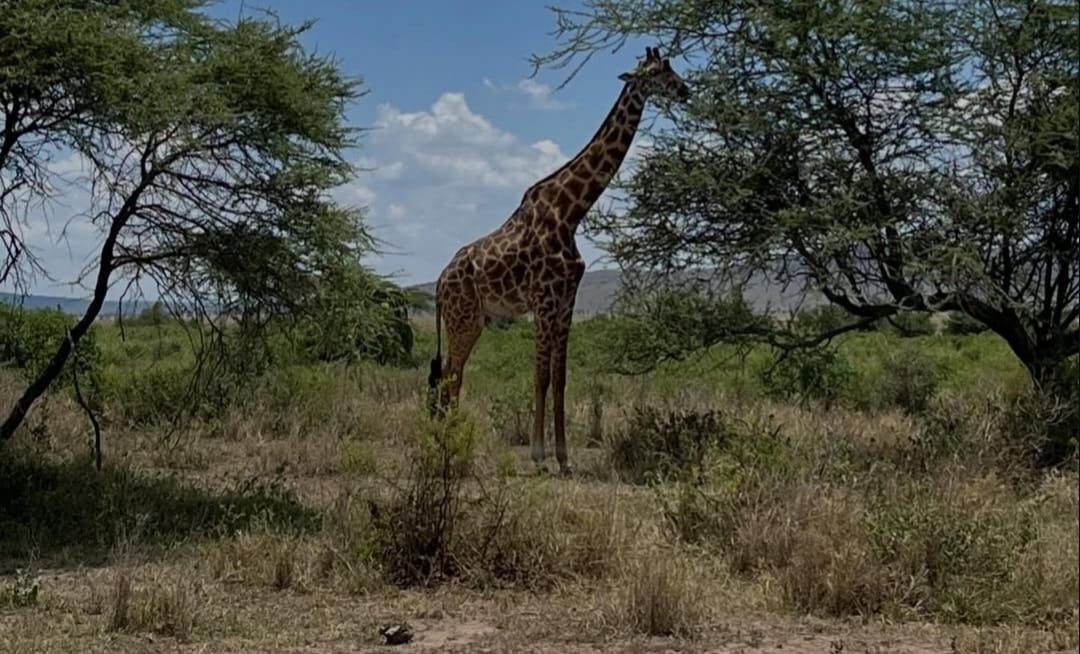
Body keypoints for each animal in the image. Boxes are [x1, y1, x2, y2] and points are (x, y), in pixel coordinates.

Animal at [428, 47, 690, 474]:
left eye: (671, 69)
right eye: (655, 74)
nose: (685, 90)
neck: (572, 213)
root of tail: (437, 284)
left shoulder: (567, 300)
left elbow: (561, 377)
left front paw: (564, 458)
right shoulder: (545, 300)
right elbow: (540, 376)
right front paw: (538, 456)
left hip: (473, 320)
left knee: (452, 376)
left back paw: (448, 444)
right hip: (462, 318)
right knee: (451, 376)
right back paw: (448, 448)